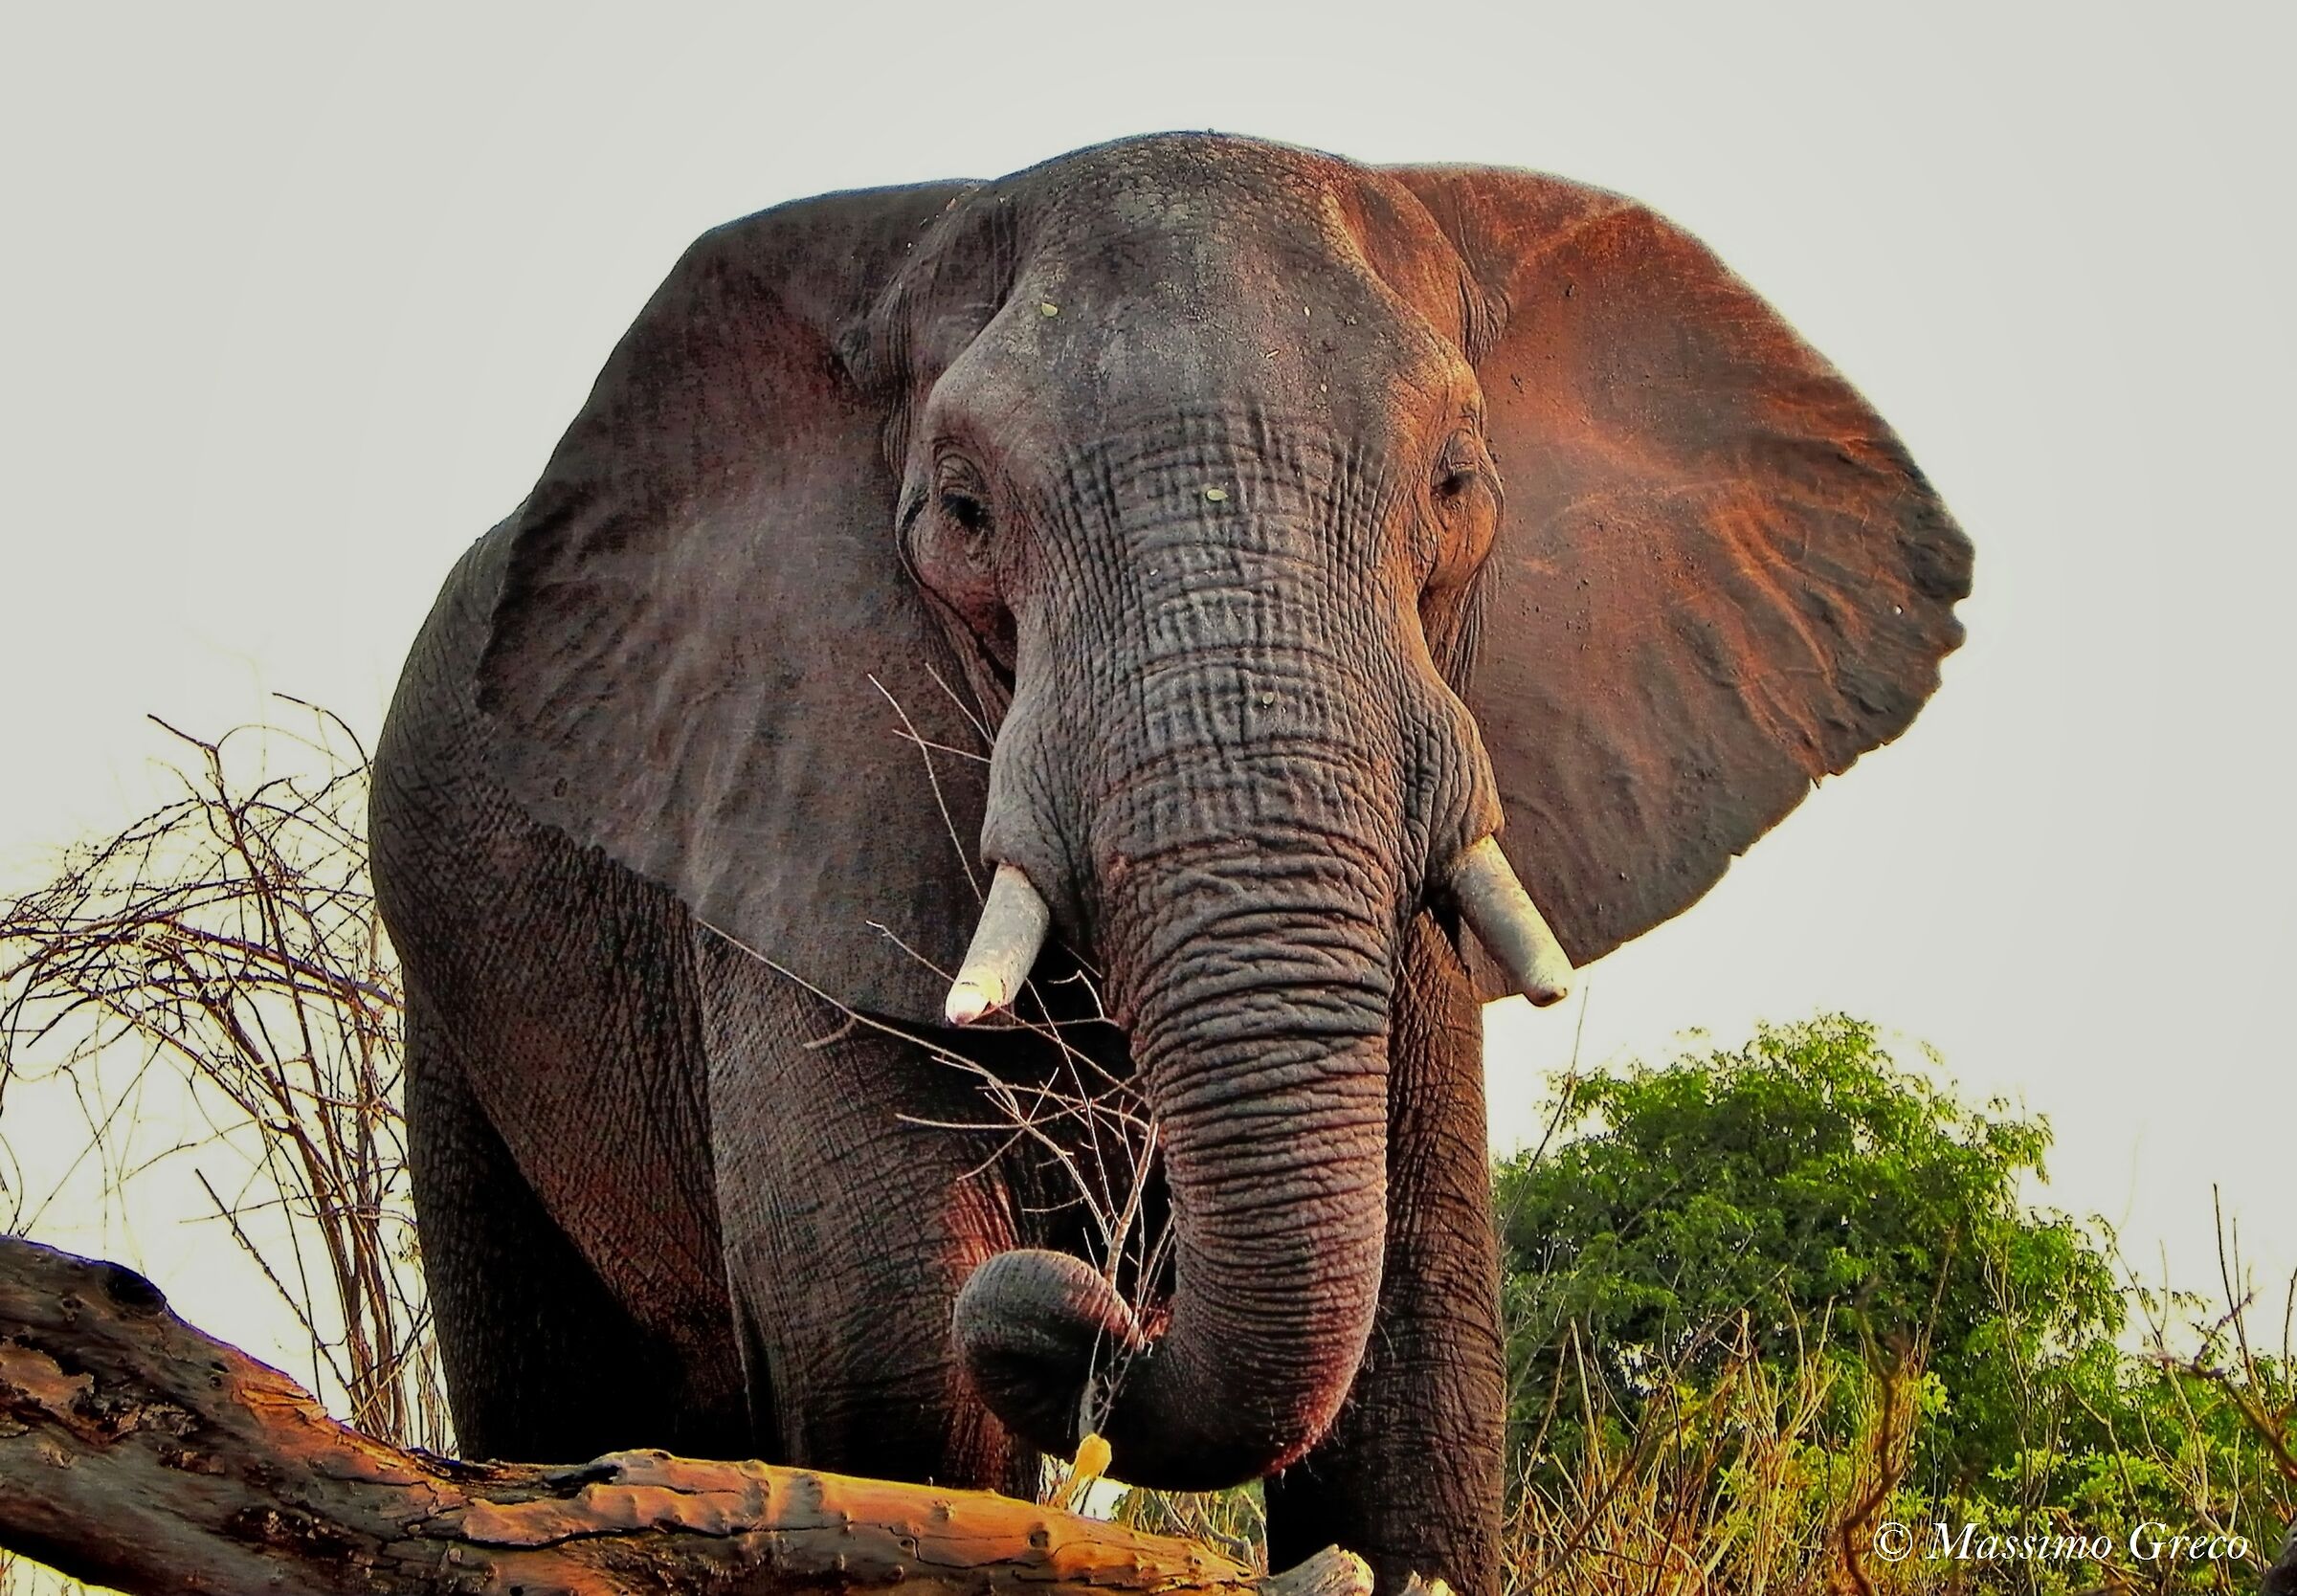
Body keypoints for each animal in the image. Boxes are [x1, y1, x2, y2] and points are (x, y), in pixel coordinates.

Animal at [370, 132, 1971, 1595]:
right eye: (963, 512)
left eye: (1458, 484)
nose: (1091, 1311)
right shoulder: (781, 779)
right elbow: (890, 1343)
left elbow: (1423, 1367)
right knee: (550, 1389)